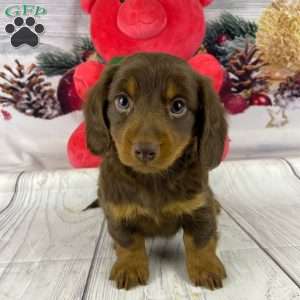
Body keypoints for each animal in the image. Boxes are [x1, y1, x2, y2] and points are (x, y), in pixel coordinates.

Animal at [84, 52, 227, 290]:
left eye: (178, 106)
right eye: (122, 101)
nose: (144, 151)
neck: (152, 179)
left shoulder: (199, 206)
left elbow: (200, 239)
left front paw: (206, 267)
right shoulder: (117, 210)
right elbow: (128, 241)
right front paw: (130, 266)